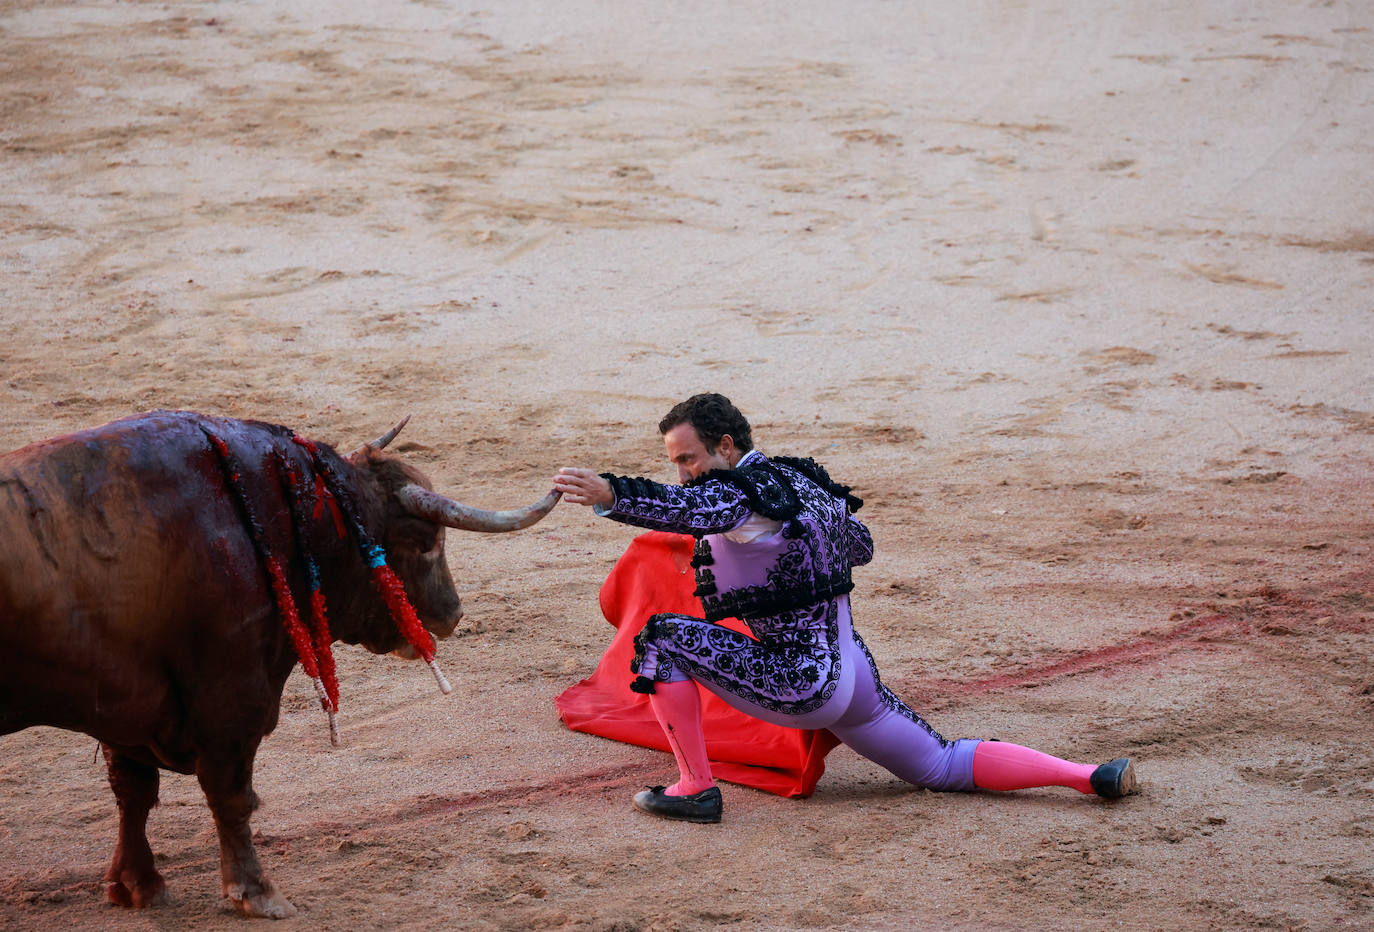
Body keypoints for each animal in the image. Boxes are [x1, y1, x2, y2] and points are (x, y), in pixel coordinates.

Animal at [0, 415, 560, 918]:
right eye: (426, 543)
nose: (453, 613)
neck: (277, 522)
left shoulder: (126, 709)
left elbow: (134, 793)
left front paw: (137, 884)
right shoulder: (230, 700)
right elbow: (231, 796)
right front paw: (257, 893)